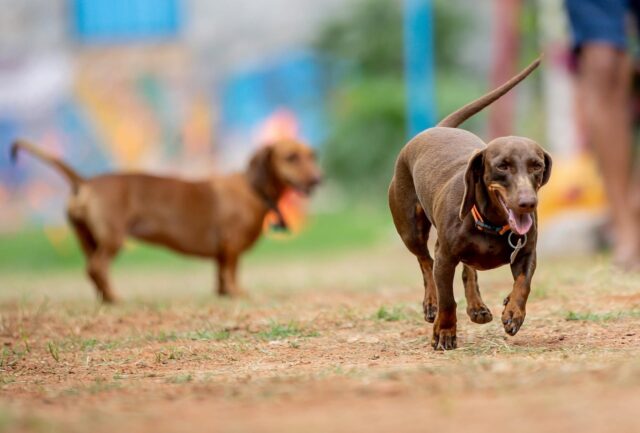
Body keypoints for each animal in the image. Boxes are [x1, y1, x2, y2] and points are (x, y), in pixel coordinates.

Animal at [13, 140, 324, 302]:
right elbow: (232, 272)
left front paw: (223, 293)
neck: (252, 188)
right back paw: (115, 298)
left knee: (92, 270)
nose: (319, 179)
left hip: (86, 239)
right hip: (112, 239)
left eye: (312, 155)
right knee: (97, 267)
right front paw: (237, 293)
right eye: (291, 157)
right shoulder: (231, 244)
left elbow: (220, 274)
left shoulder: (222, 252)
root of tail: (85, 182)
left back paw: (105, 298)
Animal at [388, 57, 552, 350]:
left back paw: (477, 307)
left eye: (537, 165)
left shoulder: (526, 253)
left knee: (468, 270)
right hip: (411, 231)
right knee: (425, 262)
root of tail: (437, 128)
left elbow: (523, 284)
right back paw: (431, 304)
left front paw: (513, 312)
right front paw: (444, 332)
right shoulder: (445, 258)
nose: (528, 203)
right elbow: (448, 300)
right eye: (502, 166)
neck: (492, 223)